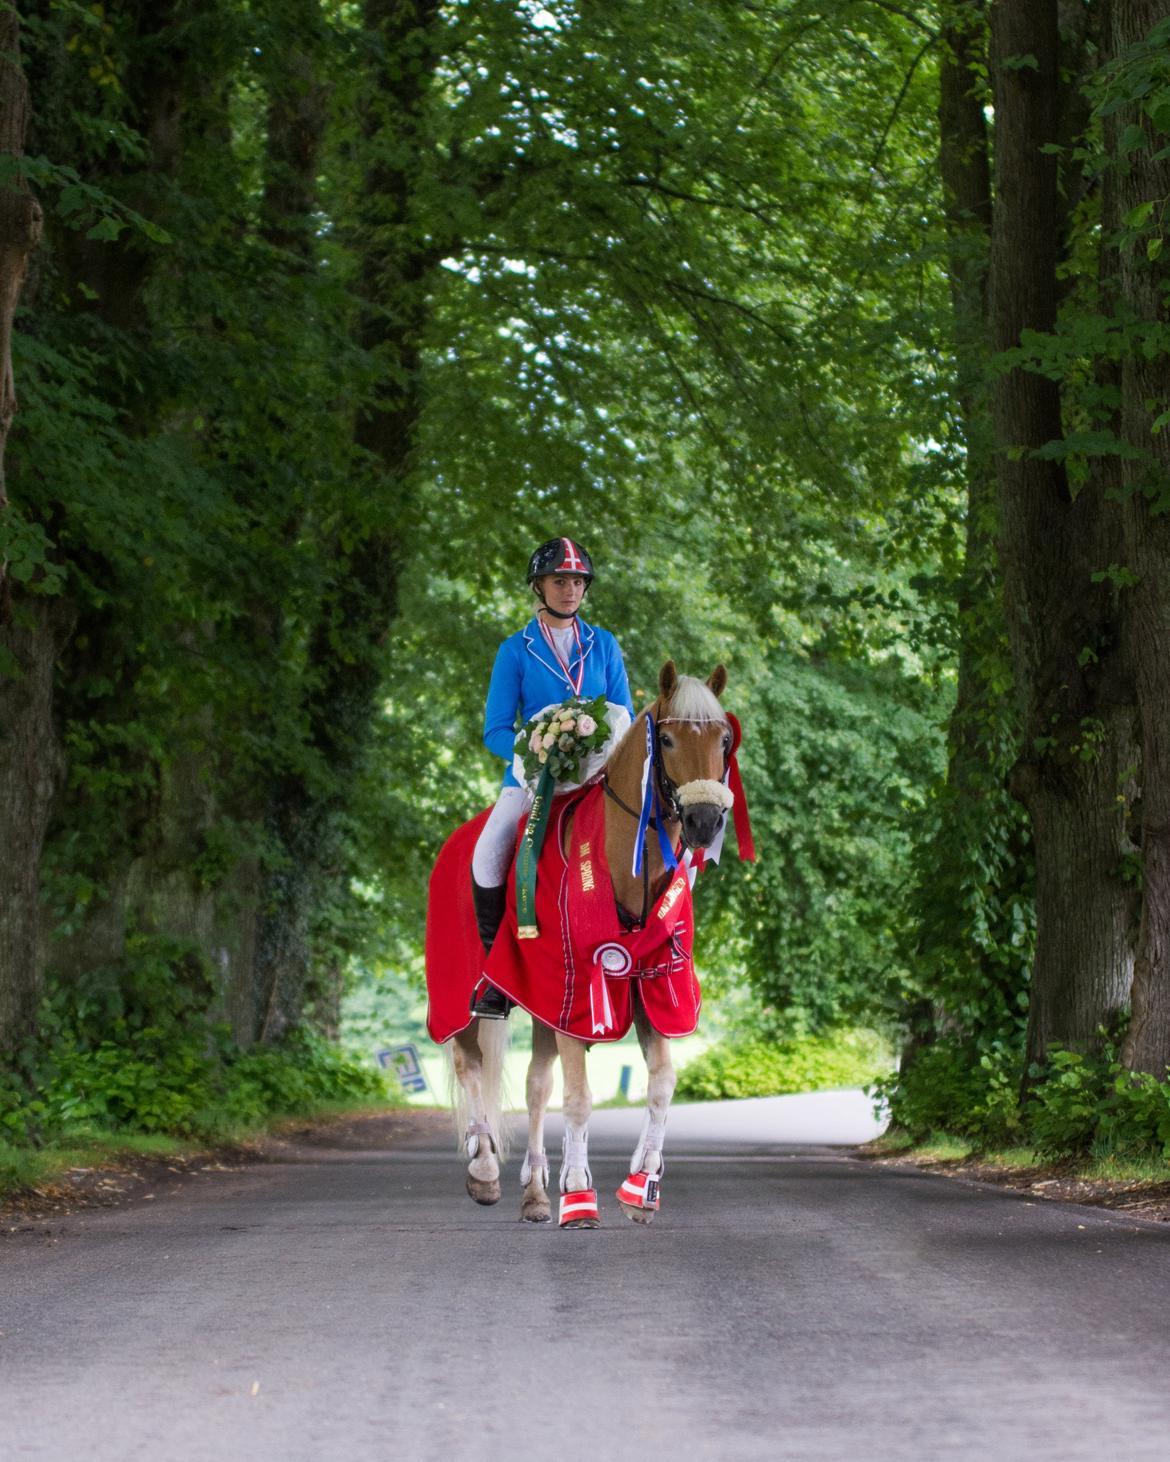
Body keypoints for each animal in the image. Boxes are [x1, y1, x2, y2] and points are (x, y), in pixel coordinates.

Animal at [432, 660, 737, 1222]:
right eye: (666, 739)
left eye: (724, 739)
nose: (705, 822)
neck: (628, 862)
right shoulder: (575, 993)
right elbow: (578, 1097)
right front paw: (577, 1192)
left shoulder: (650, 989)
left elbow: (661, 1085)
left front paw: (641, 1184)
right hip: (459, 997)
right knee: (472, 1065)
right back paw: (484, 1170)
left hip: (539, 1005)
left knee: (535, 1086)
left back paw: (533, 1191)